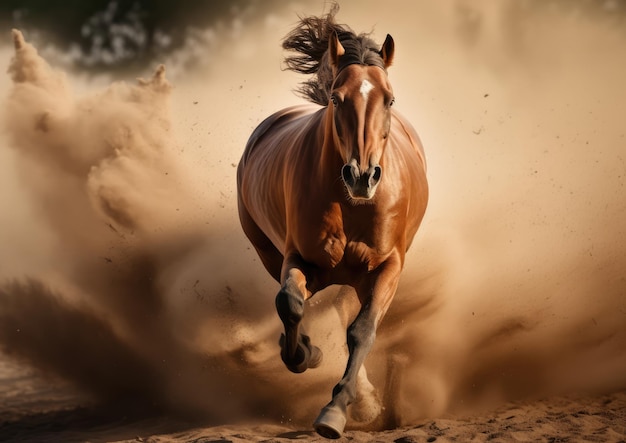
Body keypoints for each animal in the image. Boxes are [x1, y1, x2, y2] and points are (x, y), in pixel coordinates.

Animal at [236, 8, 426, 438]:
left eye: (389, 98)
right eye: (338, 99)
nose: (362, 176)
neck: (351, 205)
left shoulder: (388, 266)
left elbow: (362, 330)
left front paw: (336, 410)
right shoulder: (298, 258)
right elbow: (289, 303)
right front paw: (307, 354)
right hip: (269, 253)